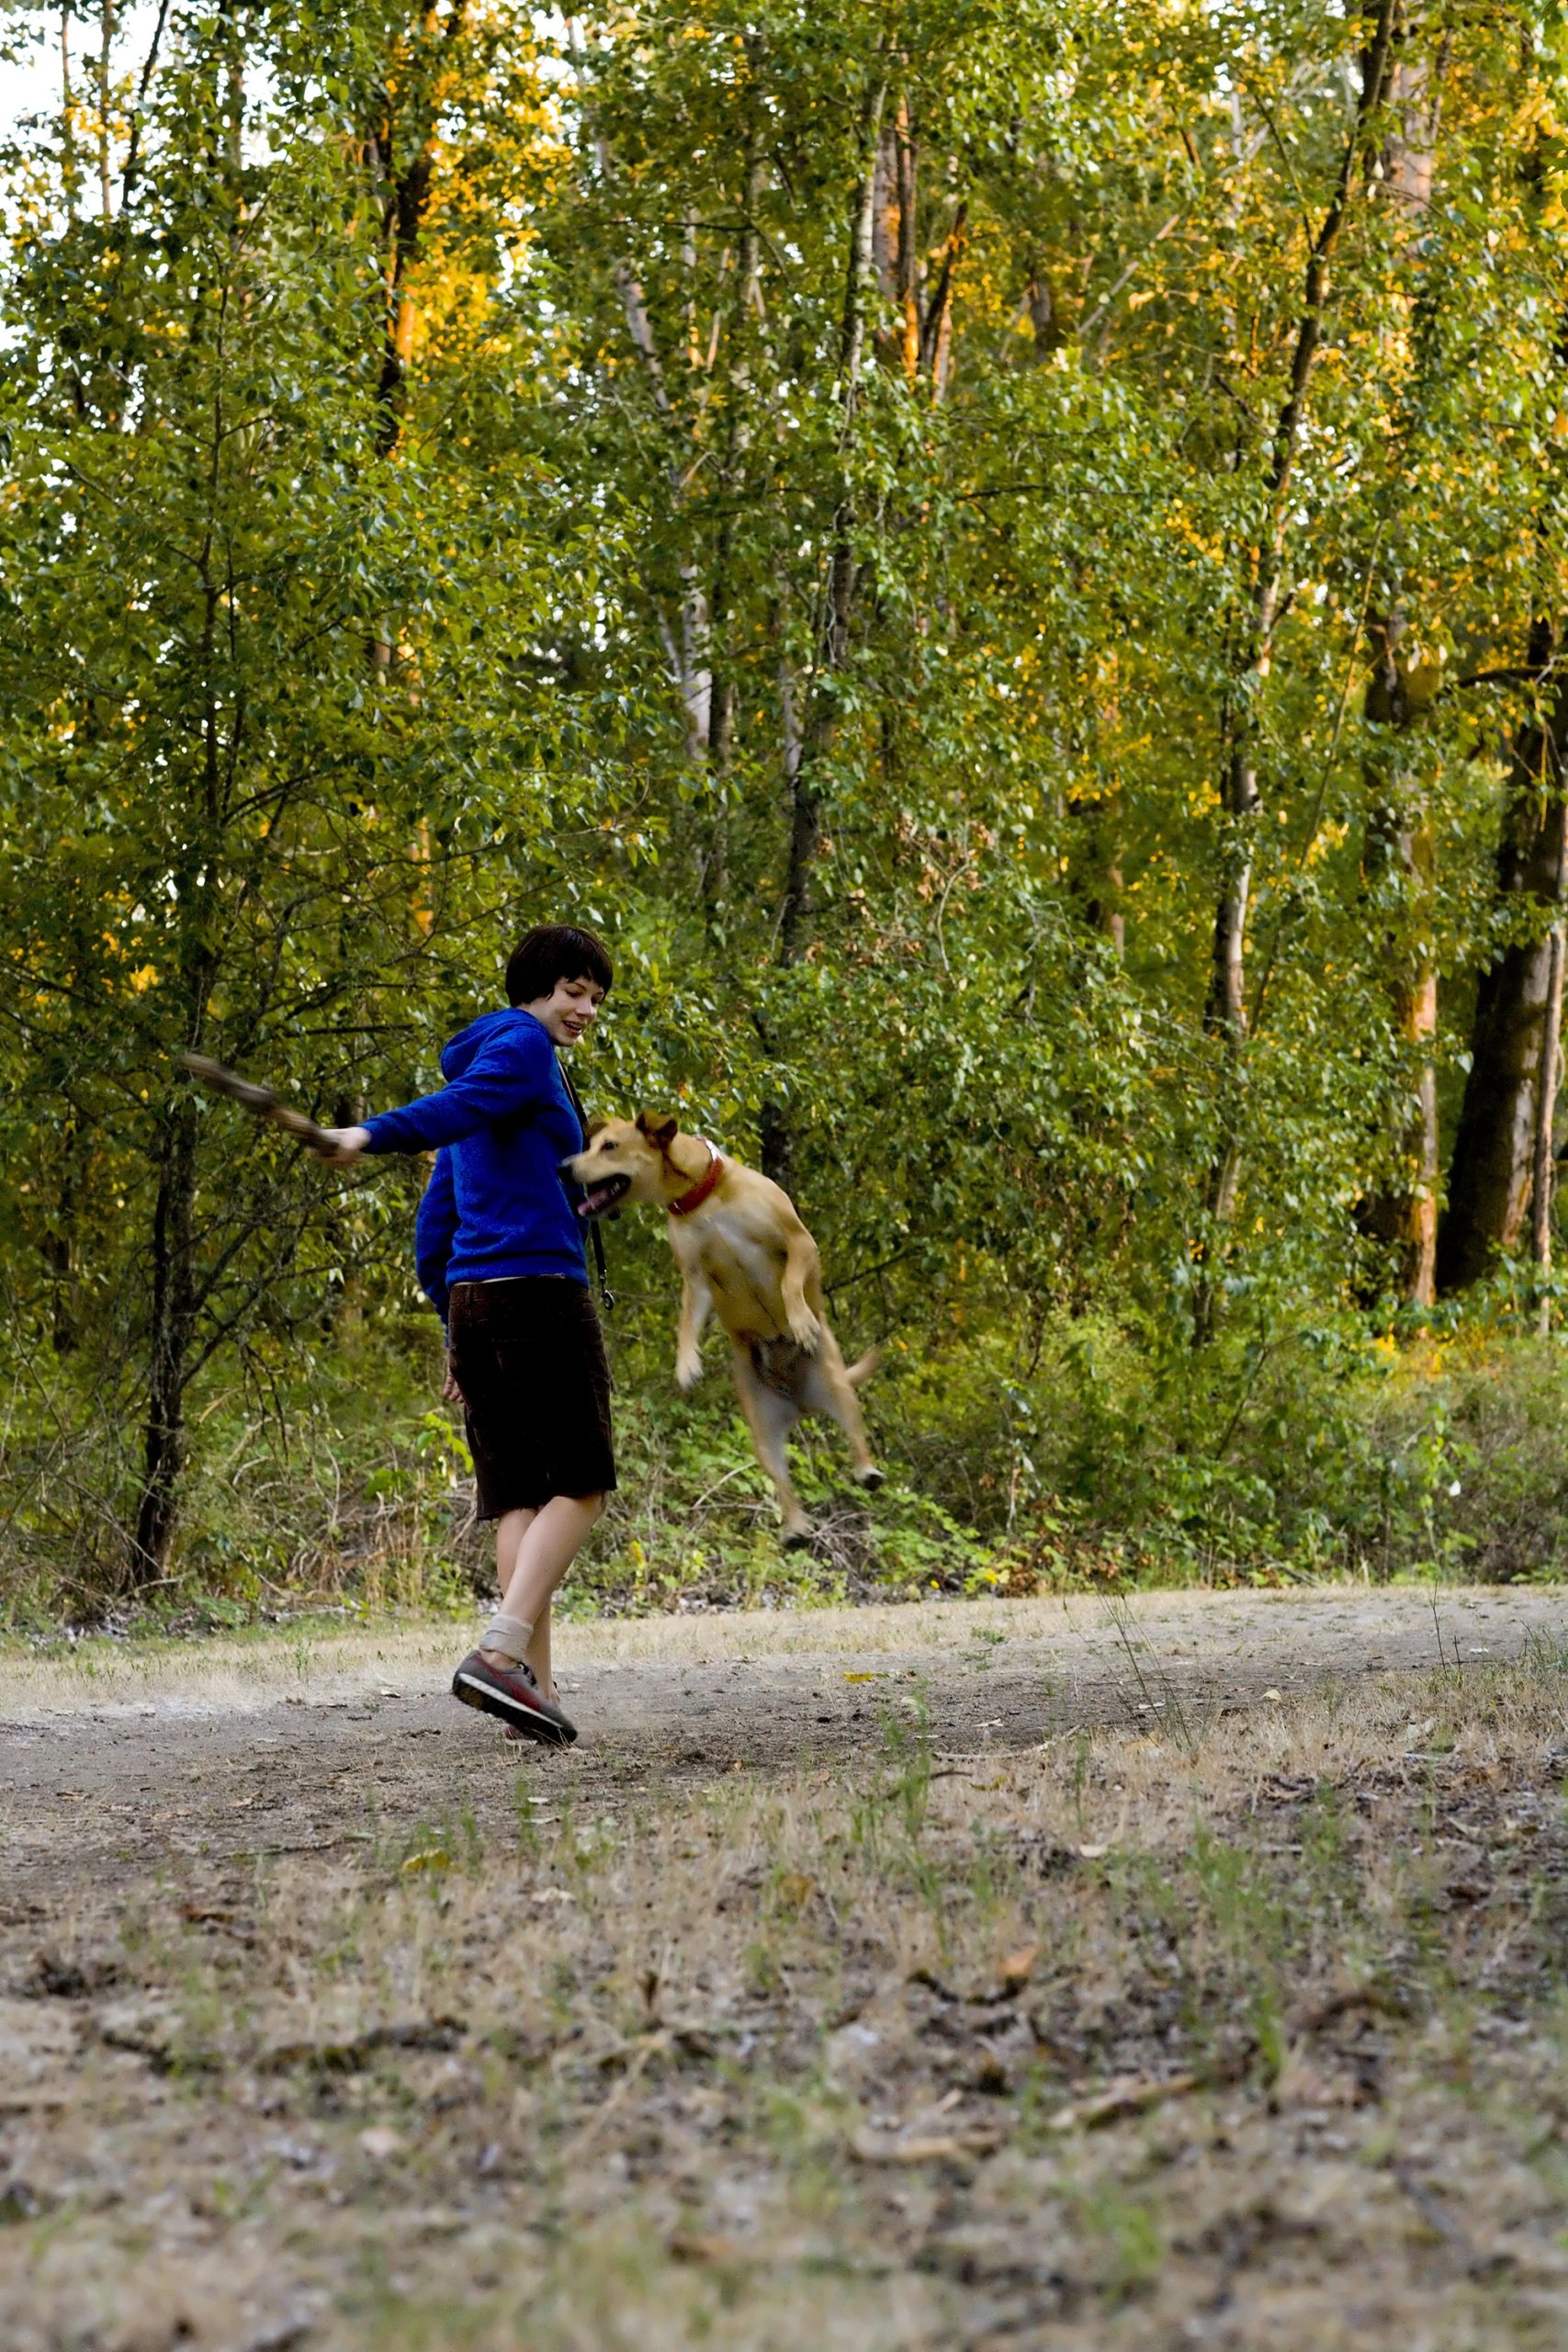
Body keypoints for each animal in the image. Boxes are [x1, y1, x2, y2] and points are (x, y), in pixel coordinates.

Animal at [564, 1113, 882, 1546]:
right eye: (592, 1144)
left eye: (609, 1146)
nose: (563, 1167)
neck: (702, 1198)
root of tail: (801, 1401)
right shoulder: (696, 1278)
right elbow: (686, 1323)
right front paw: (686, 1364)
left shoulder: (799, 1241)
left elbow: (789, 1283)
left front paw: (800, 1320)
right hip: (762, 1430)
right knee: (781, 1479)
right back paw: (795, 1527)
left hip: (837, 1386)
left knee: (855, 1435)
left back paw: (866, 1470)